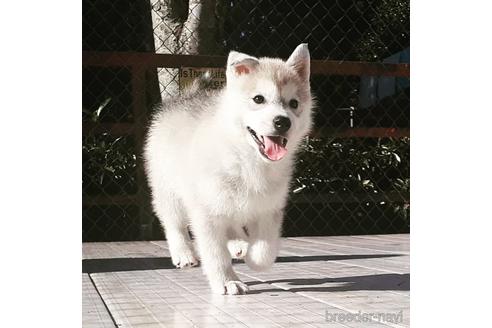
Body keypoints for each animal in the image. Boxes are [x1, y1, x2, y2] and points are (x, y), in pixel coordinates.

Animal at [143, 43, 312, 294]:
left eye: (294, 104)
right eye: (258, 99)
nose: (283, 122)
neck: (247, 159)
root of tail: (187, 97)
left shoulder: (269, 207)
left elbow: (265, 250)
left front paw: (253, 257)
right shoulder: (205, 211)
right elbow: (215, 252)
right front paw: (227, 281)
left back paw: (239, 244)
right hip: (168, 189)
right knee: (174, 223)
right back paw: (184, 254)